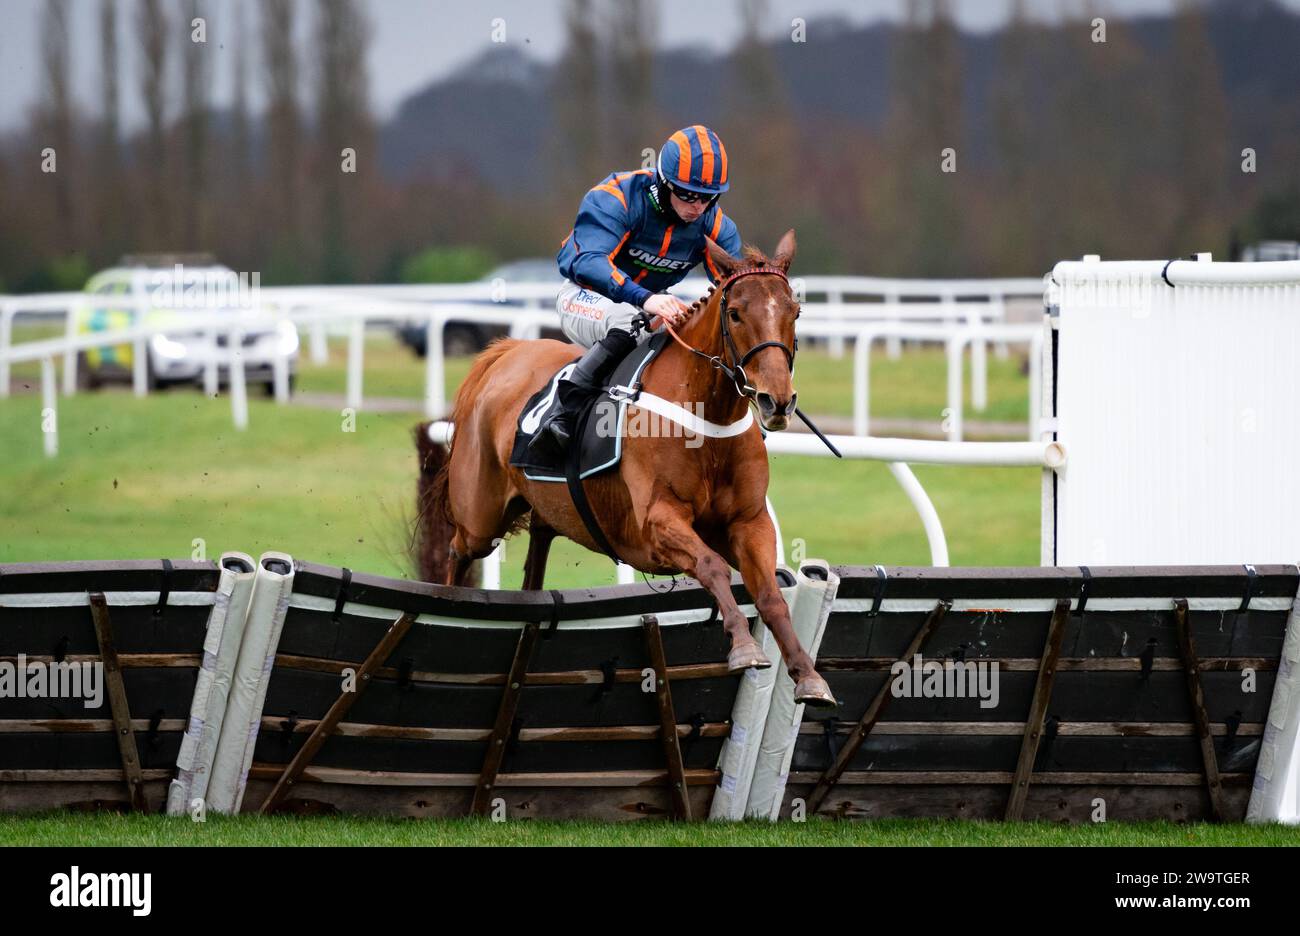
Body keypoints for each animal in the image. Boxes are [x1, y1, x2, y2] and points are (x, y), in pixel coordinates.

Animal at [421, 232, 837, 702]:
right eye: (735, 313)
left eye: (794, 312)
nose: (776, 401)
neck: (706, 419)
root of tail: (508, 352)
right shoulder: (656, 522)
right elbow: (712, 565)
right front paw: (745, 647)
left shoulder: (748, 522)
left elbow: (769, 594)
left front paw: (808, 675)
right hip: (480, 515)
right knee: (458, 551)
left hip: (545, 511)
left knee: (534, 566)